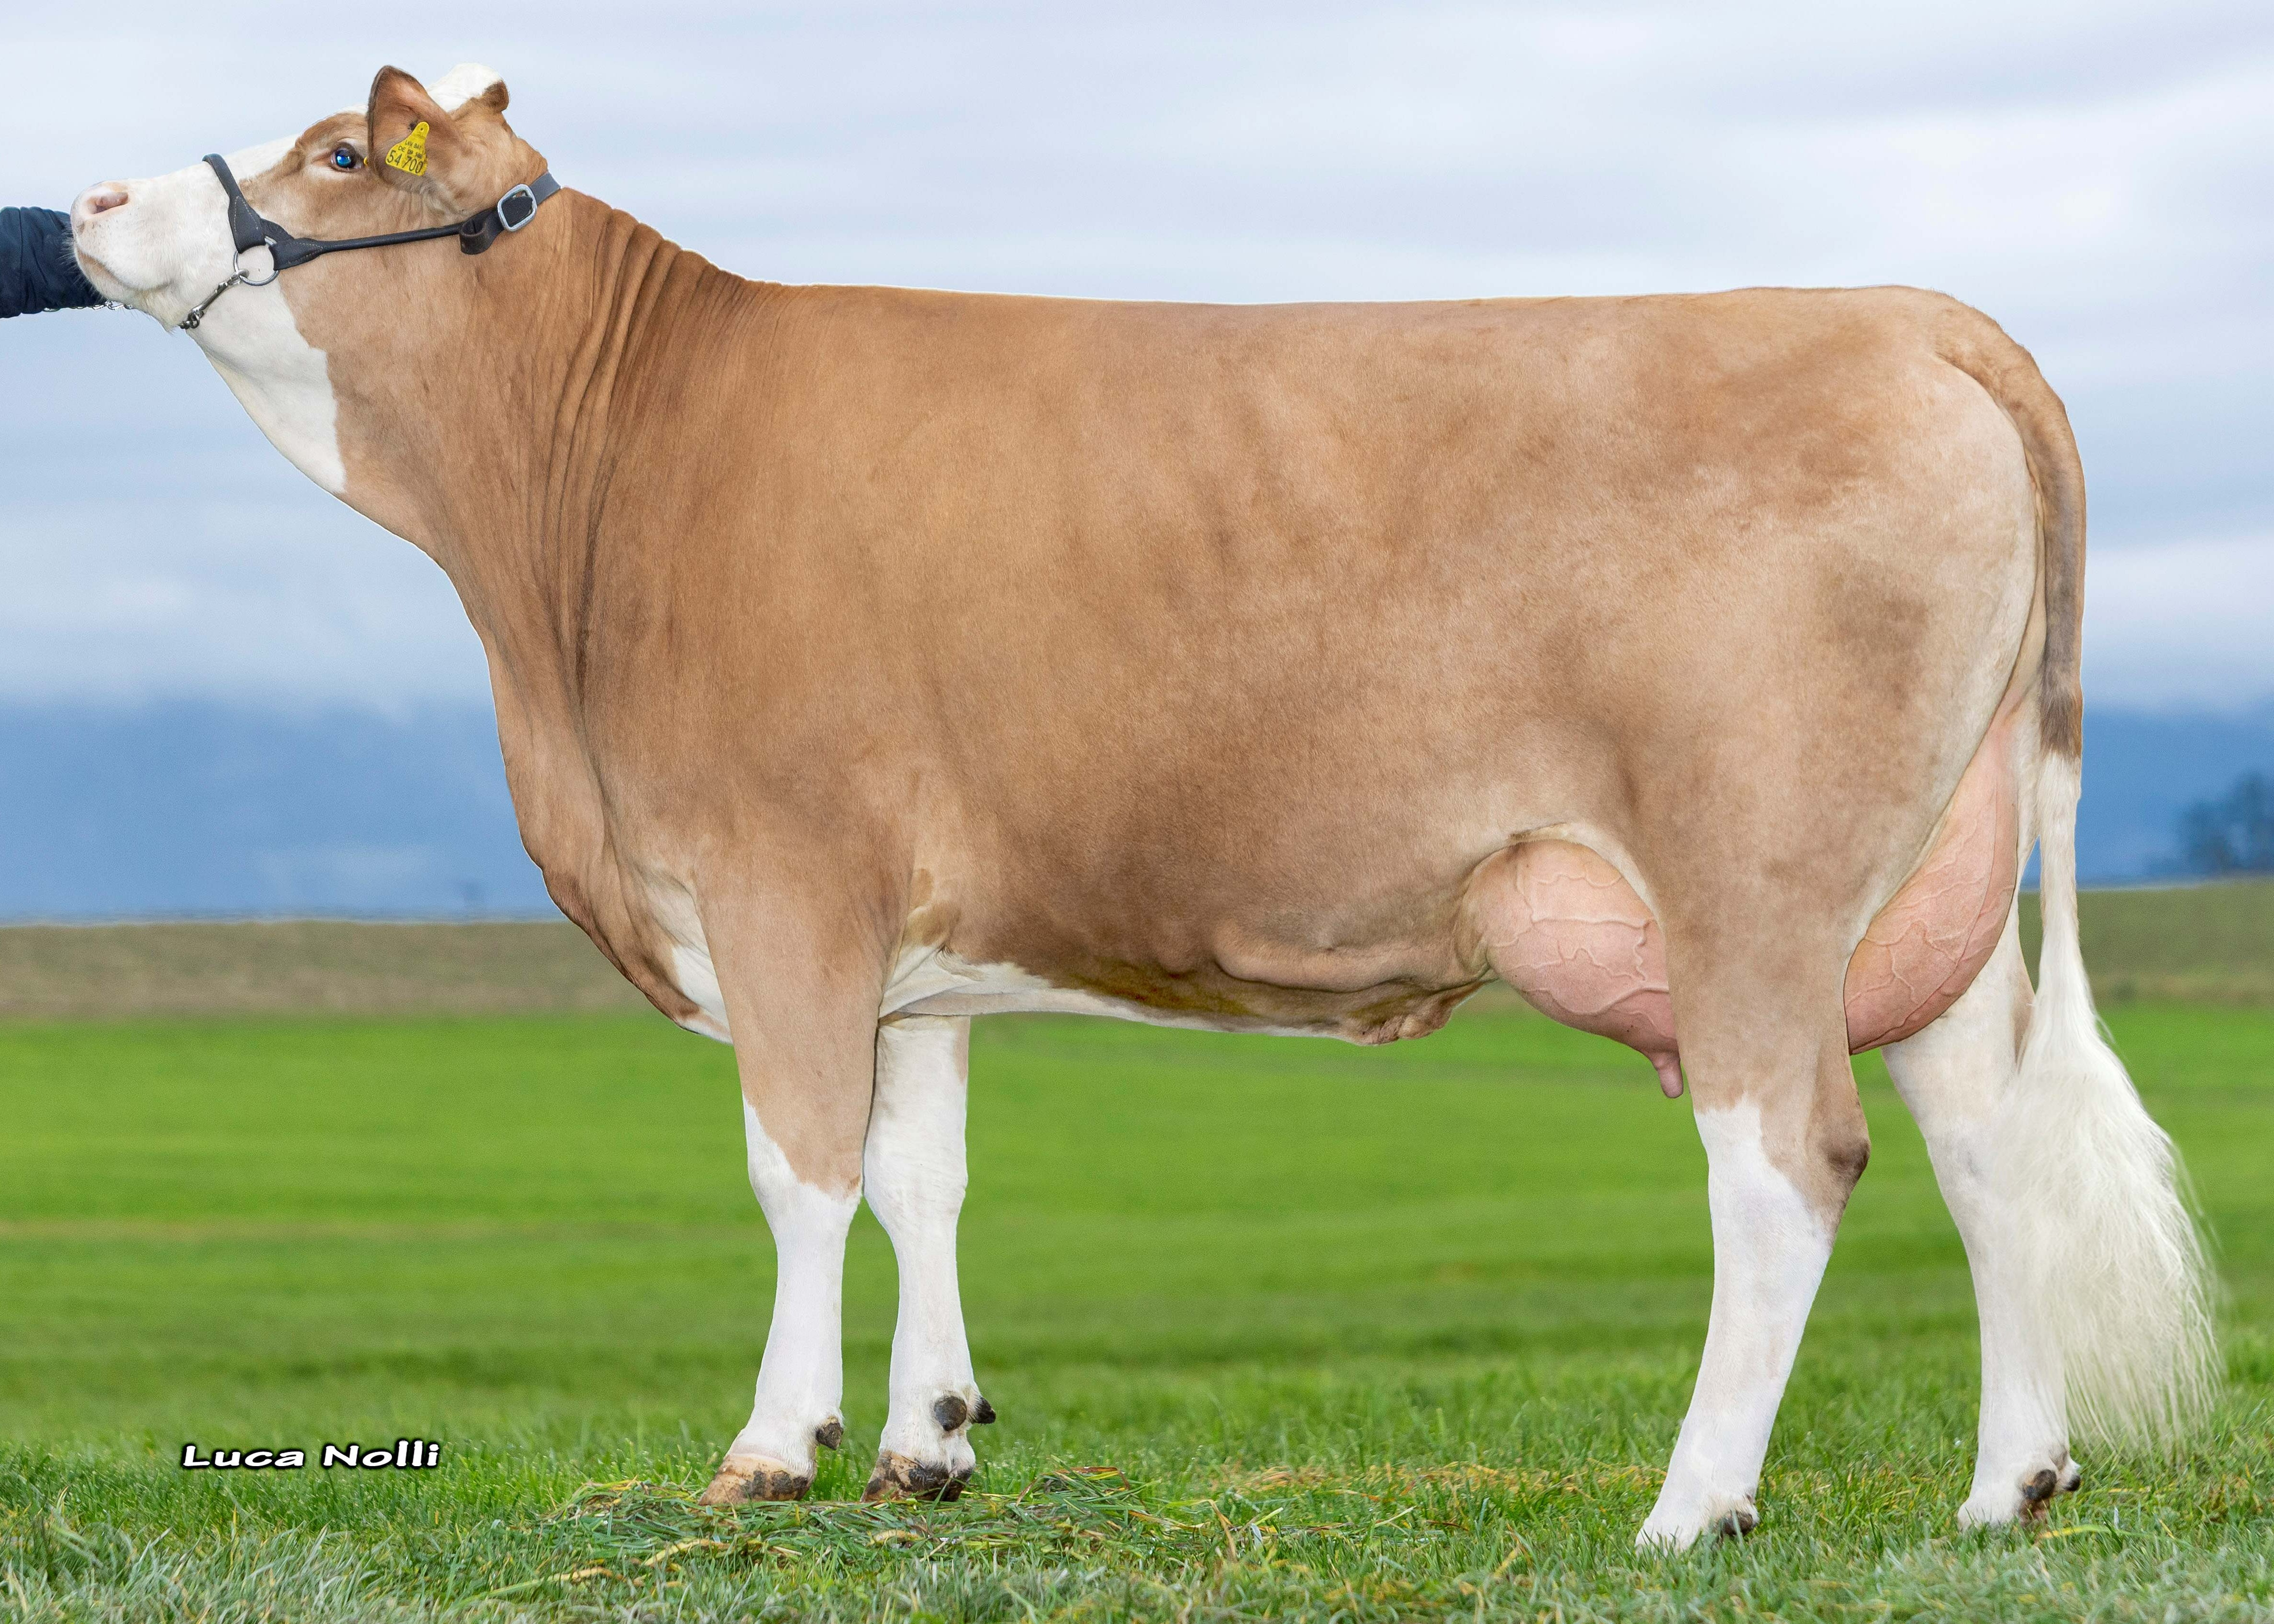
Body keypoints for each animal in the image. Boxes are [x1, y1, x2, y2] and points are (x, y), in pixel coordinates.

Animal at [65, 63, 2215, 1547]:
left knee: (1786, 1160)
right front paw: (922, 1437)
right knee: (1984, 1139)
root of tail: (1911, 308)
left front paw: (772, 1445)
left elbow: (798, 1168)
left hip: (1754, 873)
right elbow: (920, 1170)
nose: (86, 197)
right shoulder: (914, 942)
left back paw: (1694, 1504)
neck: (593, 516)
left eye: (337, 159)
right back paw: (2008, 1482)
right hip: (1926, 886)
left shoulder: (779, 878)